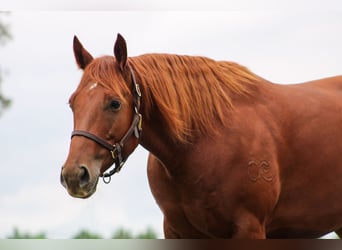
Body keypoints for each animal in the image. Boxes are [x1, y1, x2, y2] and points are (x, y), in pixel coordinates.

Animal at [61, 33, 342, 238]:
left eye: (115, 103)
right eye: (72, 103)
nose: (74, 174)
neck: (201, 146)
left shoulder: (249, 229)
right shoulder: (177, 231)